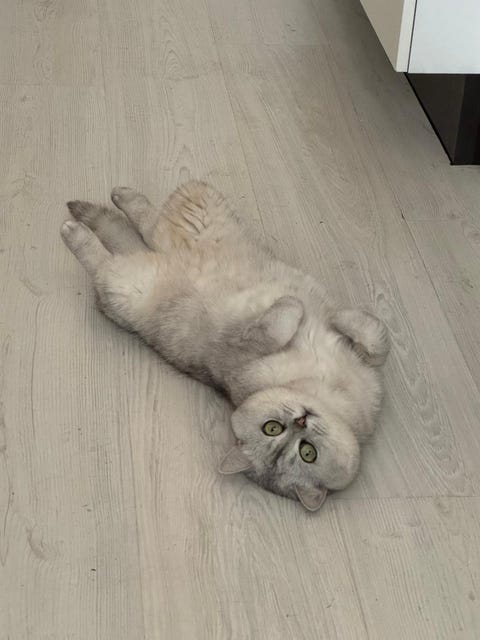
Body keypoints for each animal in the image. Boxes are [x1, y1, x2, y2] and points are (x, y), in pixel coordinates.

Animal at [61, 181, 390, 511]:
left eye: (307, 452)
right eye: (273, 427)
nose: (301, 419)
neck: (321, 391)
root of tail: (162, 256)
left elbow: (376, 341)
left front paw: (328, 315)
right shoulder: (238, 346)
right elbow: (373, 338)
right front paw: (320, 312)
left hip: (143, 264)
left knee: (140, 233)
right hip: (177, 237)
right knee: (122, 240)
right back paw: (90, 217)